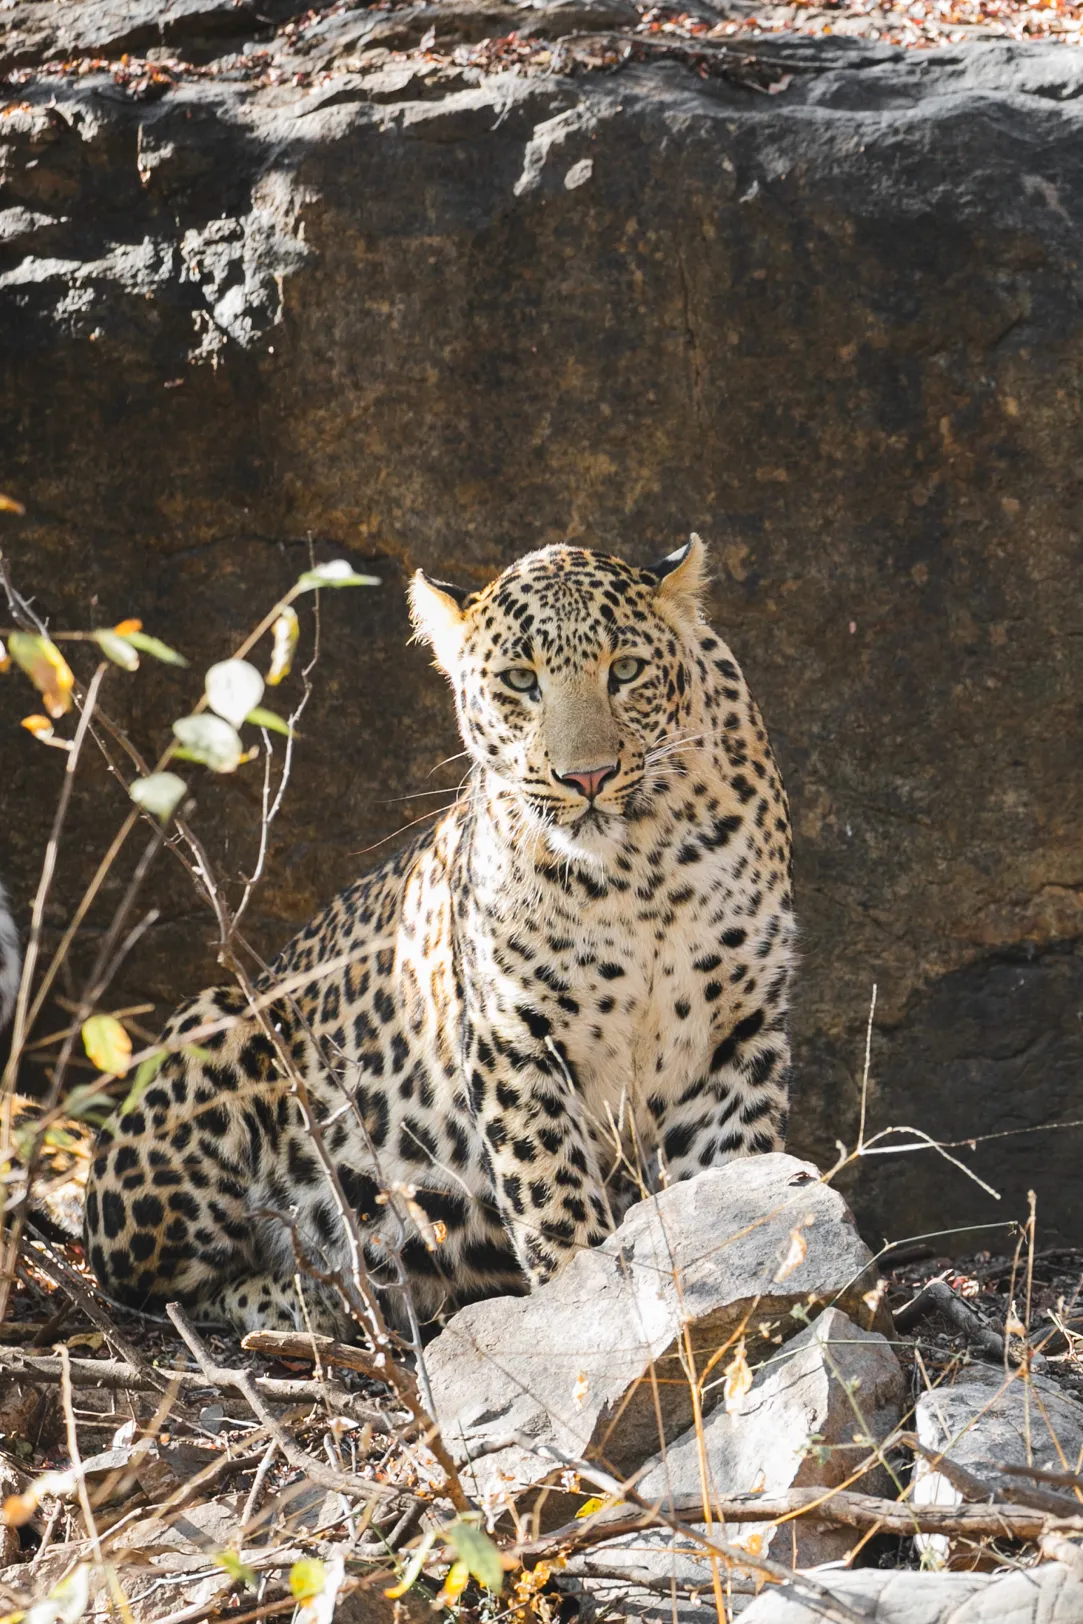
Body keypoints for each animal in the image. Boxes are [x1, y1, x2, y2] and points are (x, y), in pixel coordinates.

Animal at [84, 535, 795, 1338]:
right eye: (520, 680)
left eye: (626, 670)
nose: (586, 777)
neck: (637, 875)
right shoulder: (515, 1035)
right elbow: (553, 1198)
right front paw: (591, 1311)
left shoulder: (735, 1030)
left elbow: (732, 1183)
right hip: (218, 1028)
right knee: (156, 1288)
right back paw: (321, 1296)